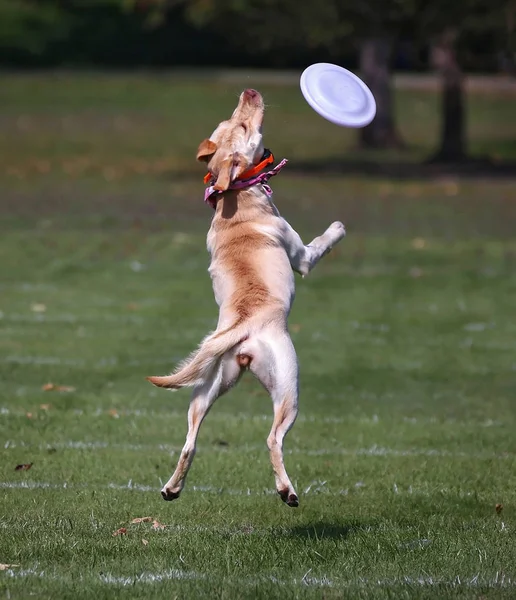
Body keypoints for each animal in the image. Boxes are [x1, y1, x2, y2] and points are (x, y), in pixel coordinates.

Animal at [147, 86, 344, 504]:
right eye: (242, 126)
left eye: (232, 120)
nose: (249, 91)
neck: (234, 197)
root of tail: (242, 330)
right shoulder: (300, 255)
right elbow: (317, 247)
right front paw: (337, 229)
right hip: (289, 388)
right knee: (273, 439)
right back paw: (287, 491)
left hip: (207, 388)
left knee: (190, 441)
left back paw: (173, 488)